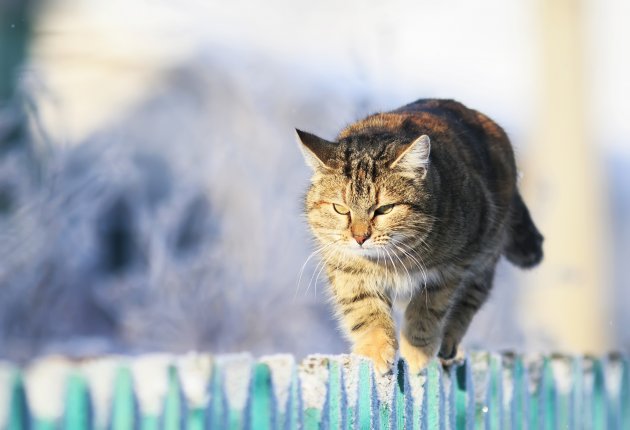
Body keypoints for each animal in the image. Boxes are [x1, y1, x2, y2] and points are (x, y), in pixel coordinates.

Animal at [298, 99, 544, 374]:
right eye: (340, 209)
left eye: (385, 209)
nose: (360, 238)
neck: (390, 260)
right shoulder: (345, 266)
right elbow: (363, 308)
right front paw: (376, 348)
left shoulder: (451, 268)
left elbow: (427, 309)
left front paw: (417, 351)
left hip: (484, 258)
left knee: (469, 300)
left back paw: (448, 342)